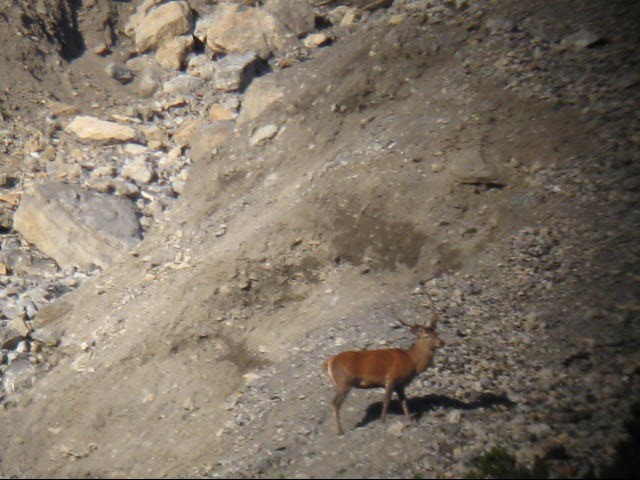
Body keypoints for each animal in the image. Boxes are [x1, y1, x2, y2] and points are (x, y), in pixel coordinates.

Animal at [320, 294, 444, 436]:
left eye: (436, 333)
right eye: (426, 335)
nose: (442, 342)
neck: (411, 362)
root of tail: (329, 361)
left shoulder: (400, 385)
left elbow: (404, 401)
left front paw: (410, 420)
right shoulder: (391, 378)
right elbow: (386, 400)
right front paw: (383, 420)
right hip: (344, 382)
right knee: (335, 403)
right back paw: (340, 431)